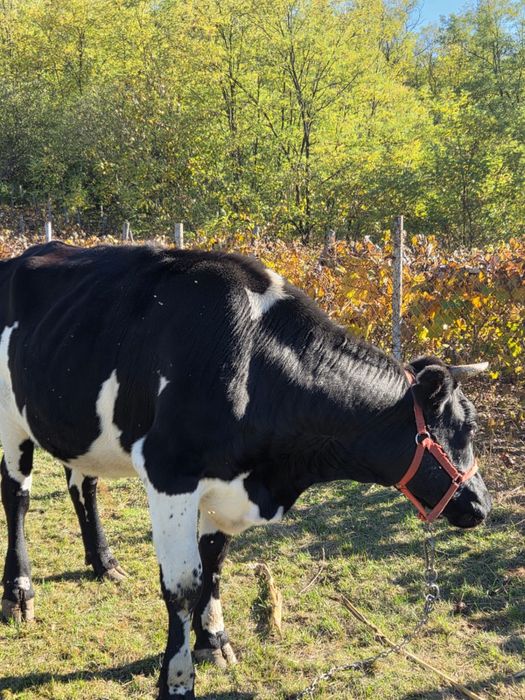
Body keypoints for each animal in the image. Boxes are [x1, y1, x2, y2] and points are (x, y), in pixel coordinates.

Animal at [0, 242, 491, 699]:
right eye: (467, 428)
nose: (482, 505)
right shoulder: (169, 471)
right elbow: (183, 585)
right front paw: (177, 679)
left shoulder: (226, 485)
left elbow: (214, 563)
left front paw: (214, 640)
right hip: (11, 419)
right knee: (17, 497)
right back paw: (19, 592)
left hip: (77, 424)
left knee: (83, 484)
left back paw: (104, 562)